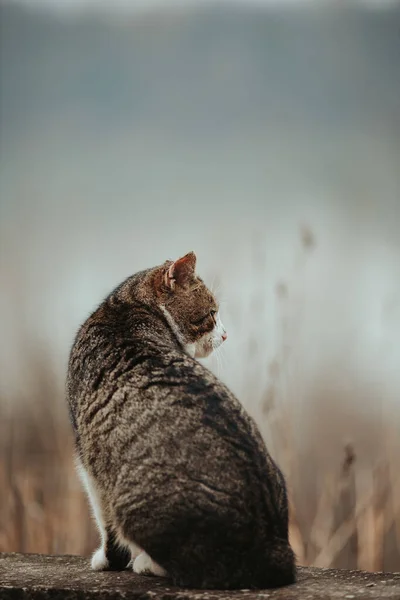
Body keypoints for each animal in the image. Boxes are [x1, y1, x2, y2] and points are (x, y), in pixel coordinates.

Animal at [66, 251, 296, 588]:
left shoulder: (89, 459)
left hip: (135, 502)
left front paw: (107, 561)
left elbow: (106, 525)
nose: (226, 334)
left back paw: (147, 563)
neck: (127, 308)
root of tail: (271, 547)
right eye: (211, 314)